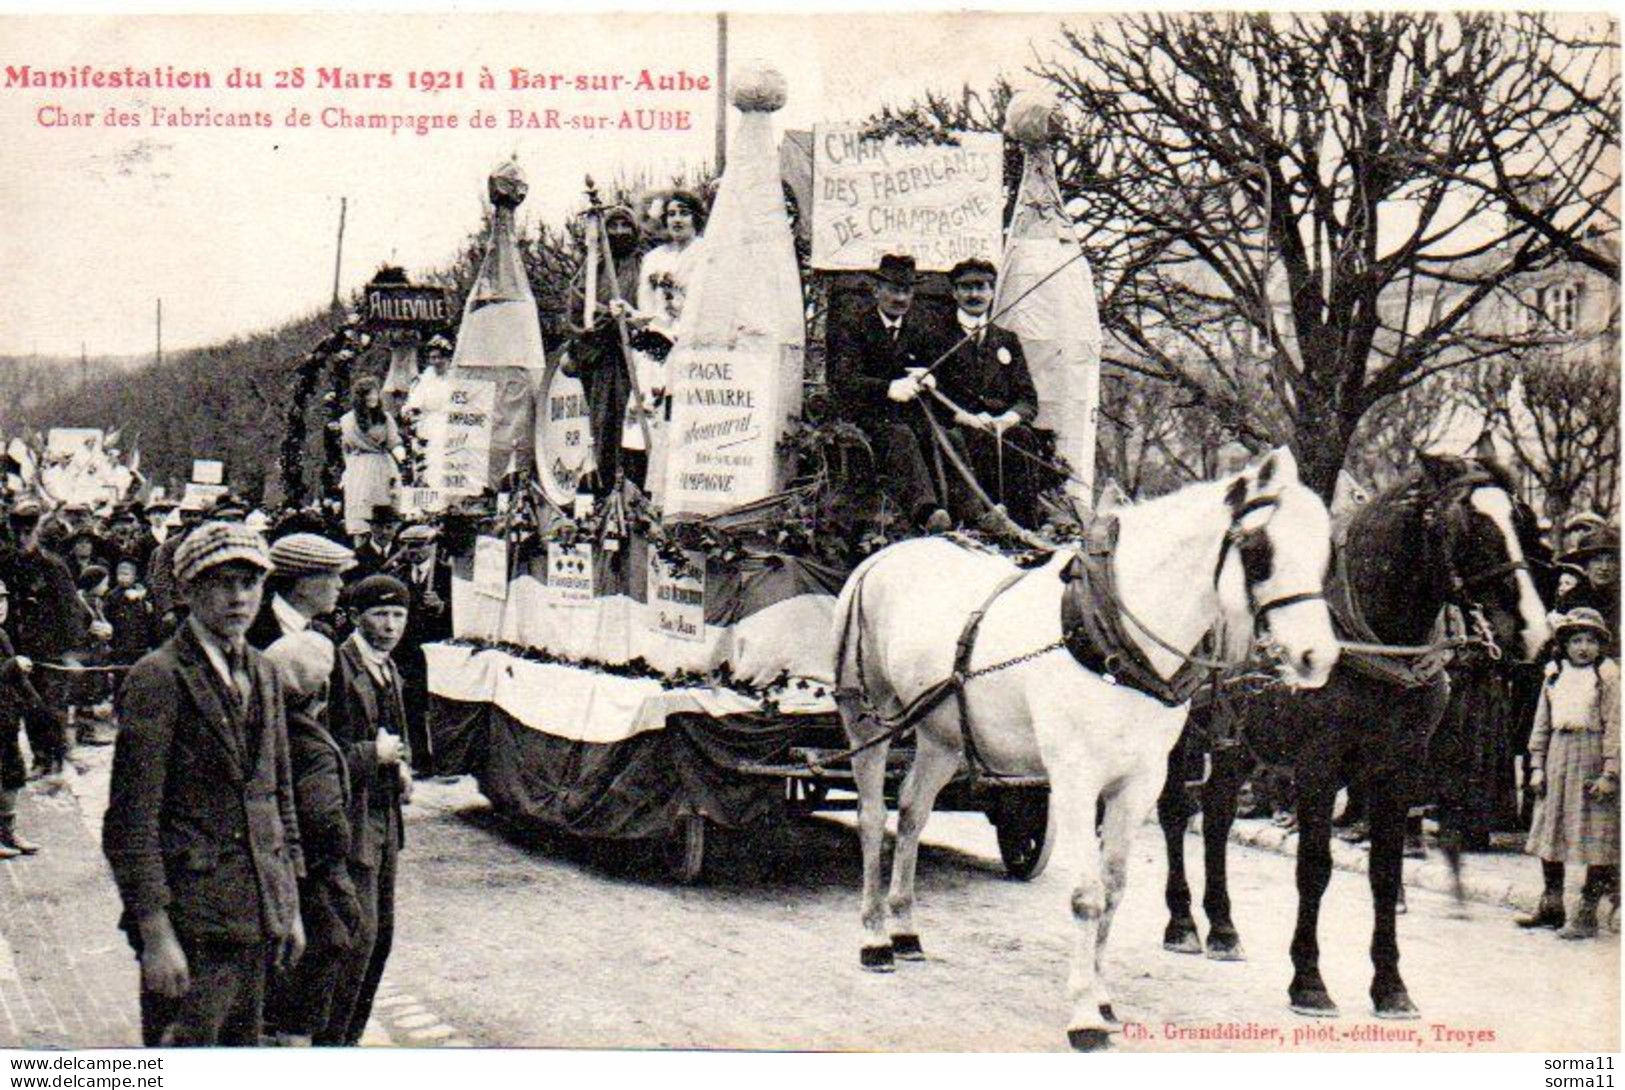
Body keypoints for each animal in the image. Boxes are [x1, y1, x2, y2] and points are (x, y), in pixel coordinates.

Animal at [832, 445, 1339, 1046]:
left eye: (1327, 549)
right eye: (1260, 551)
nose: (1318, 657)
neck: (1115, 637)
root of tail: (887, 554)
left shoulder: (1138, 783)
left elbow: (1114, 888)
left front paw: (1102, 999)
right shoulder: (1074, 780)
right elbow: (1086, 894)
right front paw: (1082, 1015)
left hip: (942, 737)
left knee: (910, 815)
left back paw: (906, 929)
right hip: (868, 716)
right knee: (871, 818)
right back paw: (873, 939)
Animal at [1157, 454, 1547, 1020]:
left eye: (1522, 521)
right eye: (1467, 526)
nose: (1534, 632)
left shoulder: (1399, 769)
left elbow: (1385, 873)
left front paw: (1391, 986)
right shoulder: (1318, 765)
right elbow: (1314, 868)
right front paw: (1309, 980)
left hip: (1238, 742)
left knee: (1215, 815)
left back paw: (1224, 929)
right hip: (1182, 731)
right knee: (1173, 812)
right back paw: (1183, 922)